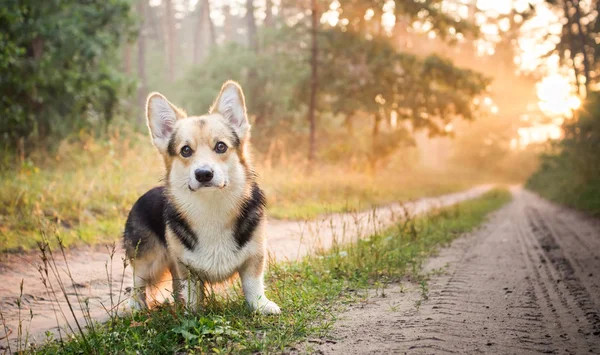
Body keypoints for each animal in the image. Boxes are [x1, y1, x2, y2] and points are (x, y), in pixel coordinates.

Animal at [123, 80, 282, 314]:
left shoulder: (255, 255)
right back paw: (137, 307)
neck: (212, 206)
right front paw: (191, 312)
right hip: (148, 260)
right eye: (186, 150)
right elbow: (191, 291)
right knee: (138, 282)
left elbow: (253, 284)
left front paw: (261, 306)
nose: (204, 174)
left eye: (221, 146)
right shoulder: (185, 267)